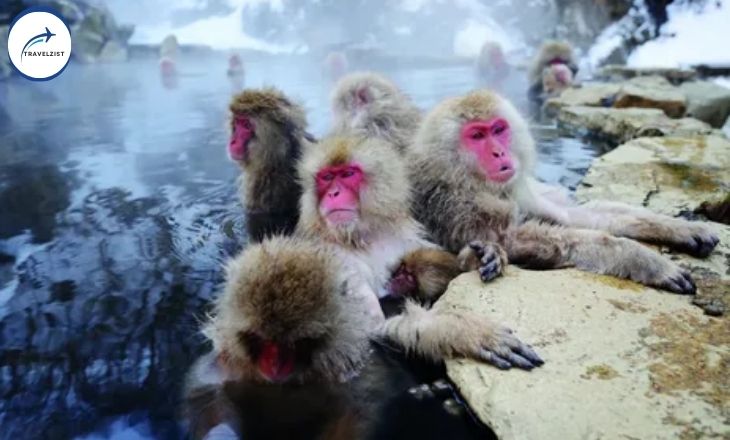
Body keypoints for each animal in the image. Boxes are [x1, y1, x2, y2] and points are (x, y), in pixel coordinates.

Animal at [181, 237, 500, 440]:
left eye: (295, 343)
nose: (274, 365)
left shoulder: (349, 369)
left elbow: (359, 407)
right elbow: (205, 399)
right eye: (261, 339)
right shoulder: (222, 368)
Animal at [406, 89, 720, 296]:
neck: (463, 177)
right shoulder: (454, 204)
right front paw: (644, 260)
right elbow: (514, 239)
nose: (499, 153)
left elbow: (572, 215)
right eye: (476, 136)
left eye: (497, 130)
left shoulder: (519, 189)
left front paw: (681, 228)